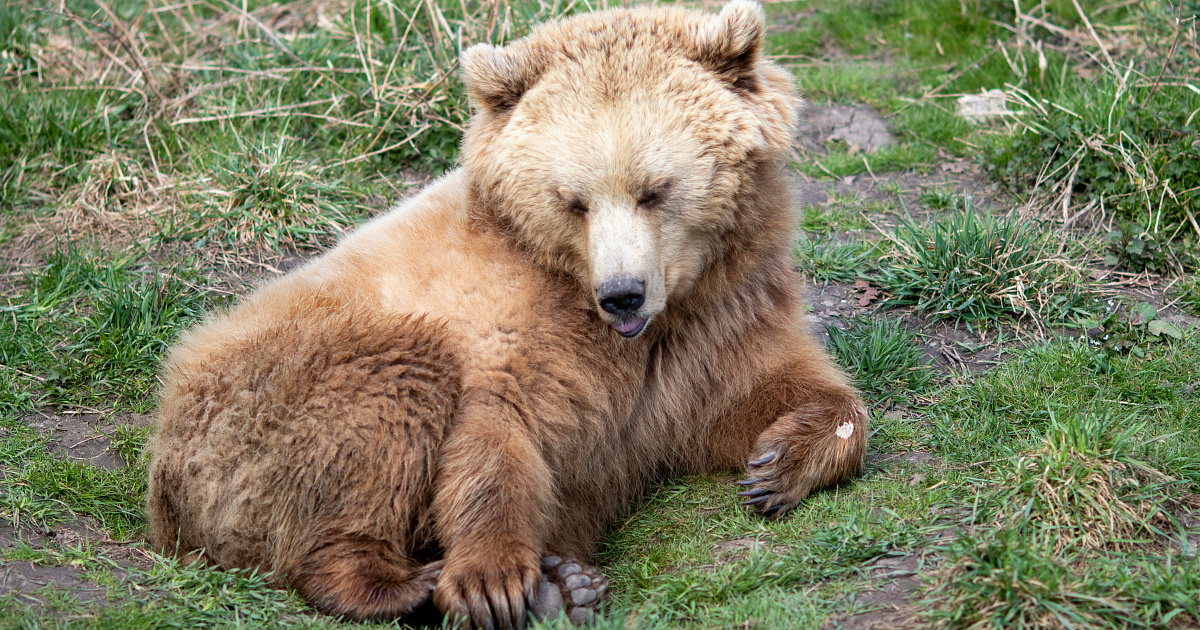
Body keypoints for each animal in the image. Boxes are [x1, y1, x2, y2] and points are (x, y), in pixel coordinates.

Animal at [145, 1, 869, 628]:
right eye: (573, 200)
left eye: (654, 190)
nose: (622, 294)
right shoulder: (525, 325)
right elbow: (500, 427)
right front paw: (492, 579)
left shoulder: (716, 324)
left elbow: (764, 393)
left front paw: (777, 464)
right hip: (266, 399)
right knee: (388, 392)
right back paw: (417, 581)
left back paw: (566, 586)